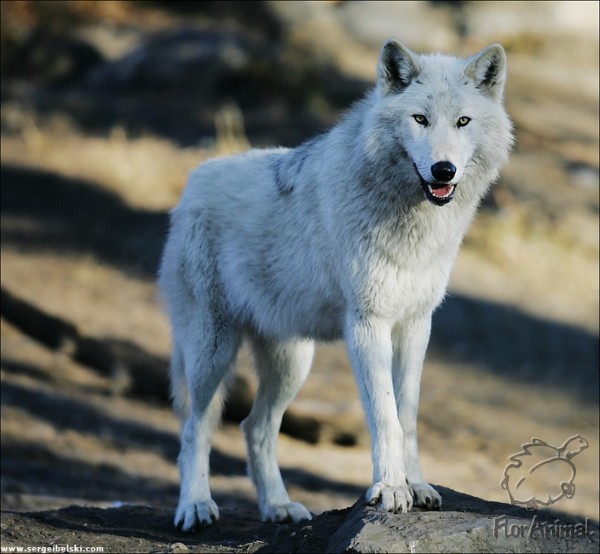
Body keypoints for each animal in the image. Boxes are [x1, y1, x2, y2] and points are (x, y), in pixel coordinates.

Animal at [158, 36, 510, 528]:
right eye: (419, 119)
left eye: (463, 121)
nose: (444, 170)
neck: (414, 226)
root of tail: (192, 184)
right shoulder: (367, 324)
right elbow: (385, 415)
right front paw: (390, 489)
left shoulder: (416, 324)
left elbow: (409, 415)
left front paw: (418, 485)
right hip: (212, 351)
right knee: (196, 427)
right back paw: (195, 504)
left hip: (291, 363)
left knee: (255, 427)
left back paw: (278, 506)